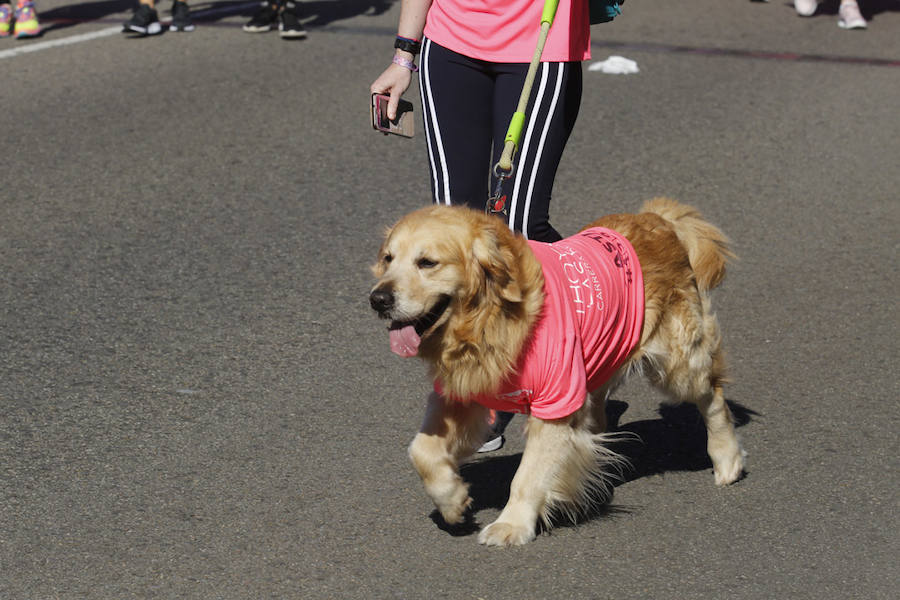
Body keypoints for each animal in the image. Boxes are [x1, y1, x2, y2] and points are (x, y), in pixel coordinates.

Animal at [368, 199, 744, 548]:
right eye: (388, 258)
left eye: (427, 262)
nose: (378, 299)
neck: (490, 321)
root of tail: (657, 219)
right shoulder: (462, 390)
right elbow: (421, 451)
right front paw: (452, 500)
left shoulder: (556, 400)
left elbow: (527, 475)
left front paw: (511, 524)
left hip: (678, 365)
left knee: (713, 397)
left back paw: (727, 459)